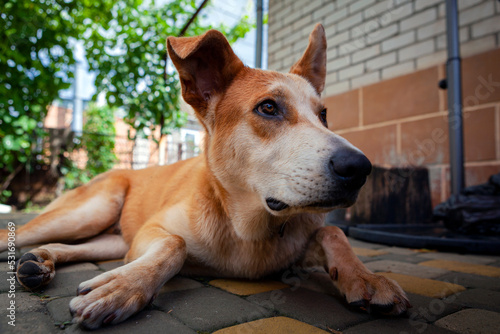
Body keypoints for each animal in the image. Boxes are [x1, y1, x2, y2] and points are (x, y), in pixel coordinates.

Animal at [0, 23, 410, 328]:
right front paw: (122, 287)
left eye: (323, 115)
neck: (245, 227)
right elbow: (175, 245)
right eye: (268, 108)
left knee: (73, 246)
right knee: (17, 235)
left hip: (111, 239)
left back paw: (40, 261)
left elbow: (333, 232)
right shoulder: (153, 230)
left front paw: (365, 277)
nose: (359, 168)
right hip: (91, 211)